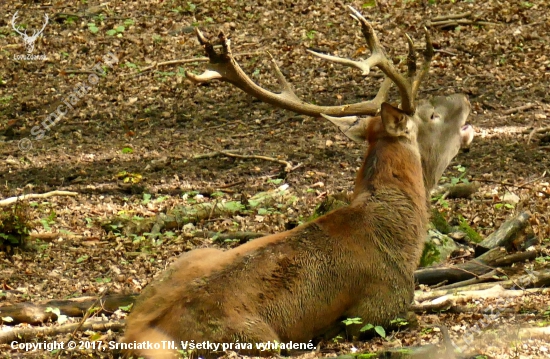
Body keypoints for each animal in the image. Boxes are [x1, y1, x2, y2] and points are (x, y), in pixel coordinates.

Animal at [124, 6, 474, 359]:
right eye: (432, 115)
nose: (465, 97)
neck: (402, 238)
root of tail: (136, 335)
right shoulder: (381, 305)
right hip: (257, 337)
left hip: (193, 256)